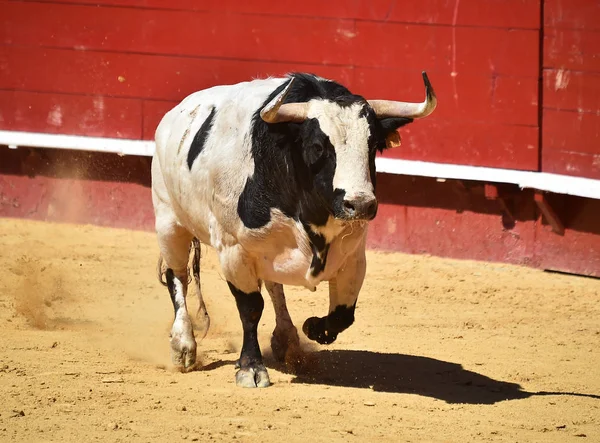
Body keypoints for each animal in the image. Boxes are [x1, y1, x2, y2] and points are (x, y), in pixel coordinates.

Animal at [151, 71, 436, 386]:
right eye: (318, 147)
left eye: (373, 146)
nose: (360, 204)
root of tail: (172, 115)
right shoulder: (233, 250)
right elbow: (250, 308)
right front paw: (251, 367)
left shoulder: (353, 256)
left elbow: (343, 314)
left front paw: (314, 328)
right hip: (169, 220)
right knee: (178, 276)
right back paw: (183, 345)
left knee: (273, 286)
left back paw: (287, 339)